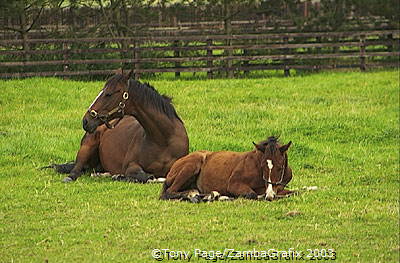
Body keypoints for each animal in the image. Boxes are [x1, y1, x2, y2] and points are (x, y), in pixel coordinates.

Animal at [159, 136, 294, 202]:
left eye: (280, 167)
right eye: (262, 166)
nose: (270, 195)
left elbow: (294, 192)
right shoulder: (234, 184)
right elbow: (252, 194)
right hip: (191, 166)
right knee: (169, 192)